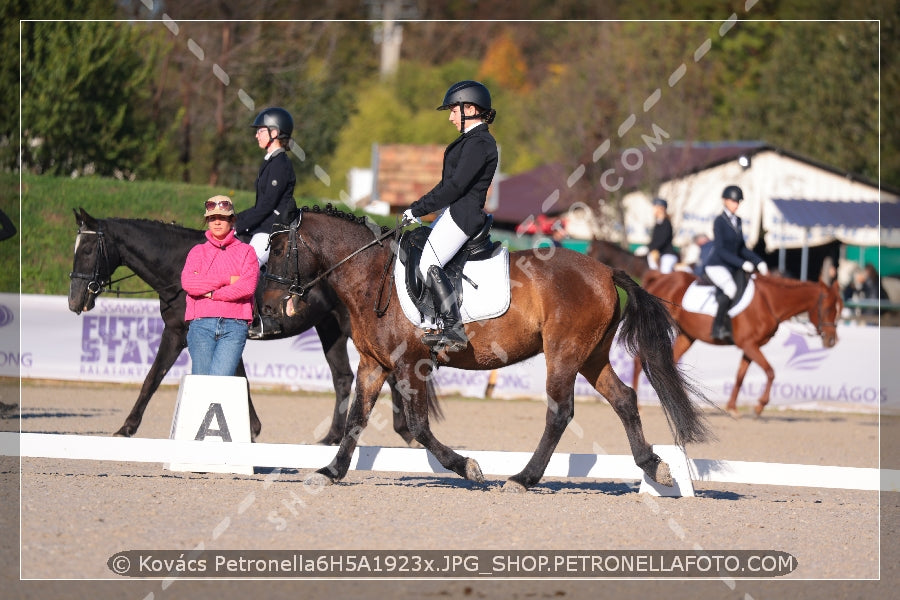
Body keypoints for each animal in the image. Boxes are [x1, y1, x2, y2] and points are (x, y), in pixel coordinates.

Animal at [67, 209, 440, 442]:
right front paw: (252, 428)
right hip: (329, 329)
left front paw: (126, 429)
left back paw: (403, 430)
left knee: (386, 372)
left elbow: (152, 378)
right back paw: (333, 437)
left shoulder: (178, 333)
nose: (74, 302)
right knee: (344, 377)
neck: (180, 265)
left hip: (353, 328)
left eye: (86, 251)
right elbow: (235, 378)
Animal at [262, 206, 716, 492]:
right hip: (591, 355)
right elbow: (357, 419)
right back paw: (654, 467)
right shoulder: (374, 365)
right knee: (624, 398)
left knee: (560, 412)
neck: (372, 277)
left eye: (280, 249)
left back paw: (523, 479)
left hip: (564, 354)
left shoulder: (410, 365)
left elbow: (419, 426)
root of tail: (604, 271)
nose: (265, 309)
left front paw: (468, 466)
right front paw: (329, 471)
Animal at [636, 270, 840, 418]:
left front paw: (733, 408)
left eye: (839, 310)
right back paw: (639, 405)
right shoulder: (749, 344)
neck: (769, 301)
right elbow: (770, 372)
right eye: (827, 308)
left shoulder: (749, 347)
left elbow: (740, 376)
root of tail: (660, 278)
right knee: (640, 361)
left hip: (687, 336)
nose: (831, 341)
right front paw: (759, 407)